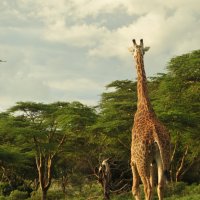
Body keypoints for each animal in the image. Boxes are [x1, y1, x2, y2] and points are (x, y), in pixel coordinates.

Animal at [129, 39, 171, 200]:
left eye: (133, 50)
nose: (136, 54)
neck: (144, 106)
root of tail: (155, 136)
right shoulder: (153, 161)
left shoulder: (133, 160)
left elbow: (135, 189)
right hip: (163, 157)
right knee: (160, 186)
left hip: (143, 161)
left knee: (147, 187)